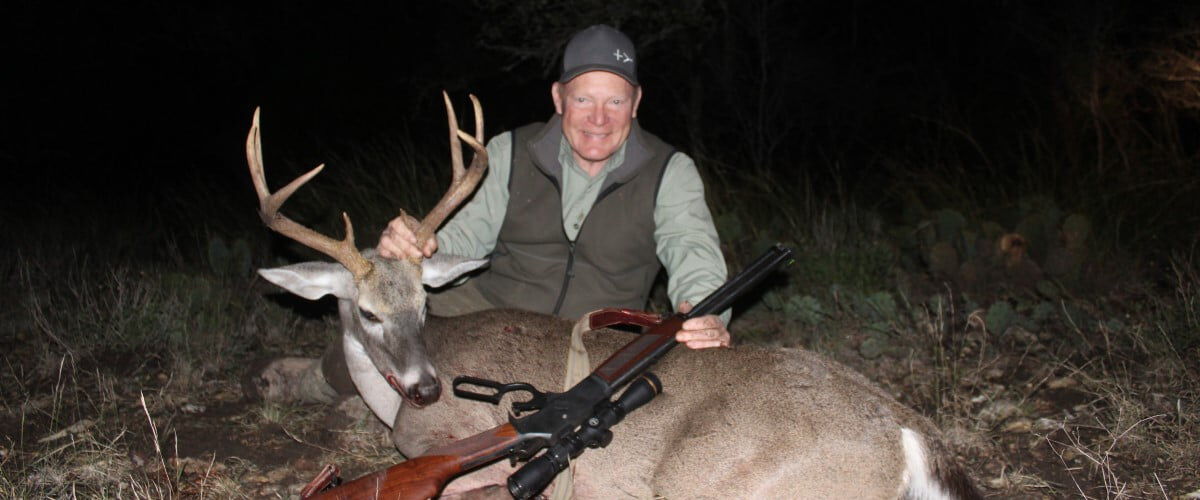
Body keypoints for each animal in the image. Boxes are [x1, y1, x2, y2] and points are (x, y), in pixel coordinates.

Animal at [241, 94, 974, 498]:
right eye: (367, 311)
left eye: (424, 304)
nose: (426, 386)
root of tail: (911, 435)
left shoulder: (439, 444)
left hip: (710, 480)